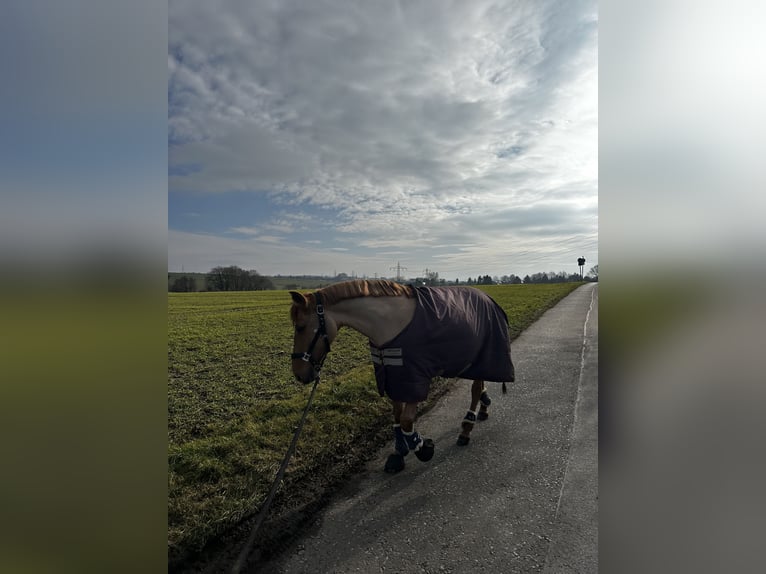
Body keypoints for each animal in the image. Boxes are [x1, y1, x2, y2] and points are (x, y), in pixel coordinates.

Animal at [289, 279, 515, 473]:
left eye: (300, 327)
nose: (299, 374)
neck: (390, 323)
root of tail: (489, 298)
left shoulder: (415, 377)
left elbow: (407, 420)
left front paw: (423, 448)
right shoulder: (392, 374)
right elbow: (397, 415)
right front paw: (399, 451)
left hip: (482, 354)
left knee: (476, 388)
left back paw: (467, 427)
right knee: (481, 382)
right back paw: (484, 406)